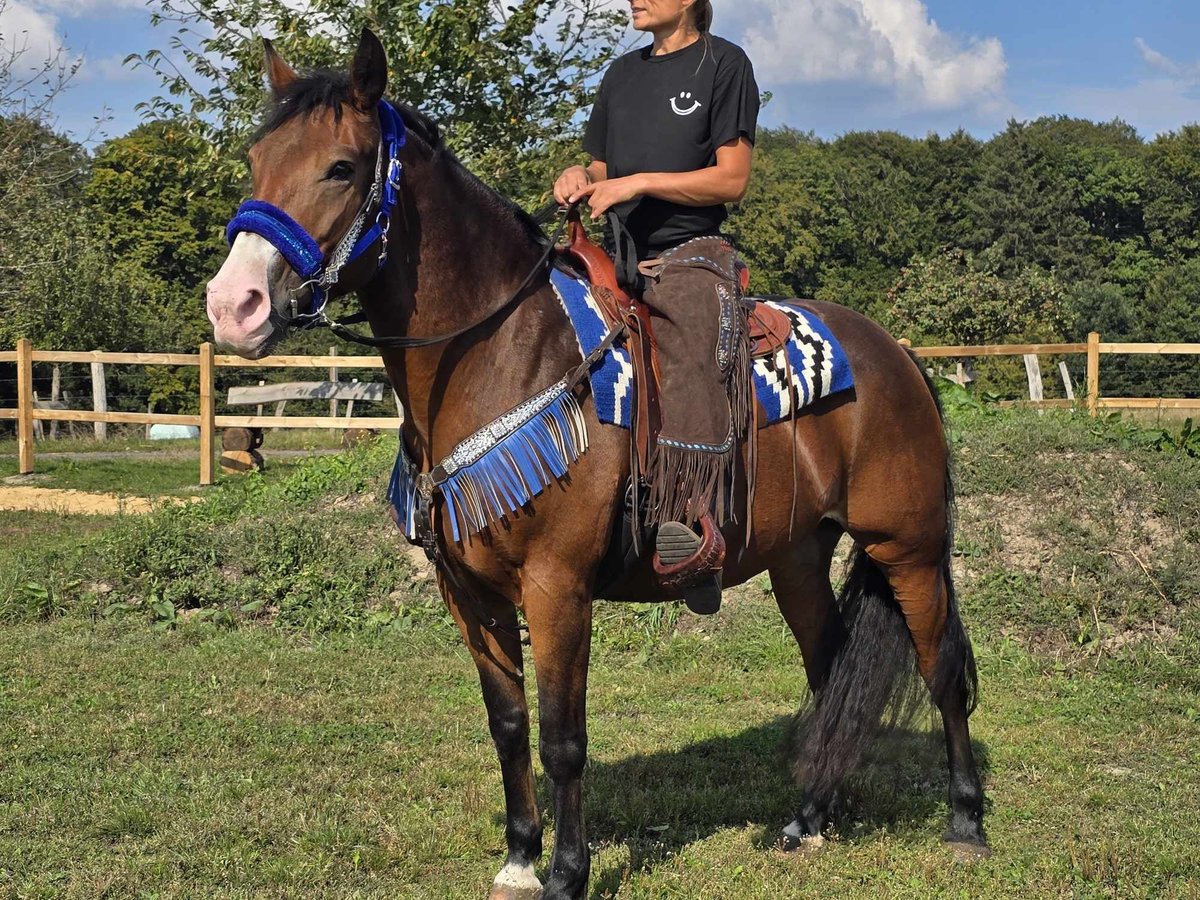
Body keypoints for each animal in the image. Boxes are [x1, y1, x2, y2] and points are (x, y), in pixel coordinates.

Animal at [206, 30, 988, 900]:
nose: (232, 306)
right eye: (255, 159)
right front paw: (519, 857)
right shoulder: (468, 592)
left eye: (342, 167)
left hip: (908, 546)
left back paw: (965, 820)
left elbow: (563, 738)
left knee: (943, 668)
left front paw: (566, 874)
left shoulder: (557, 587)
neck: (501, 354)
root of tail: (899, 356)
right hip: (798, 558)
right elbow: (509, 725)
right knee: (829, 669)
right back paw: (810, 819)